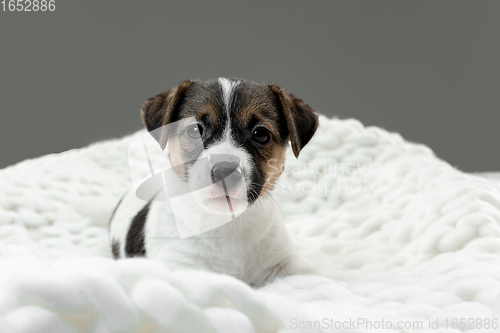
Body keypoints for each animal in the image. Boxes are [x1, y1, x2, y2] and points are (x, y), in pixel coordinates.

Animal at [110, 77, 320, 286]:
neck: (227, 226)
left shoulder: (284, 264)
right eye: (194, 130)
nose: (224, 172)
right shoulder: (181, 266)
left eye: (261, 134)